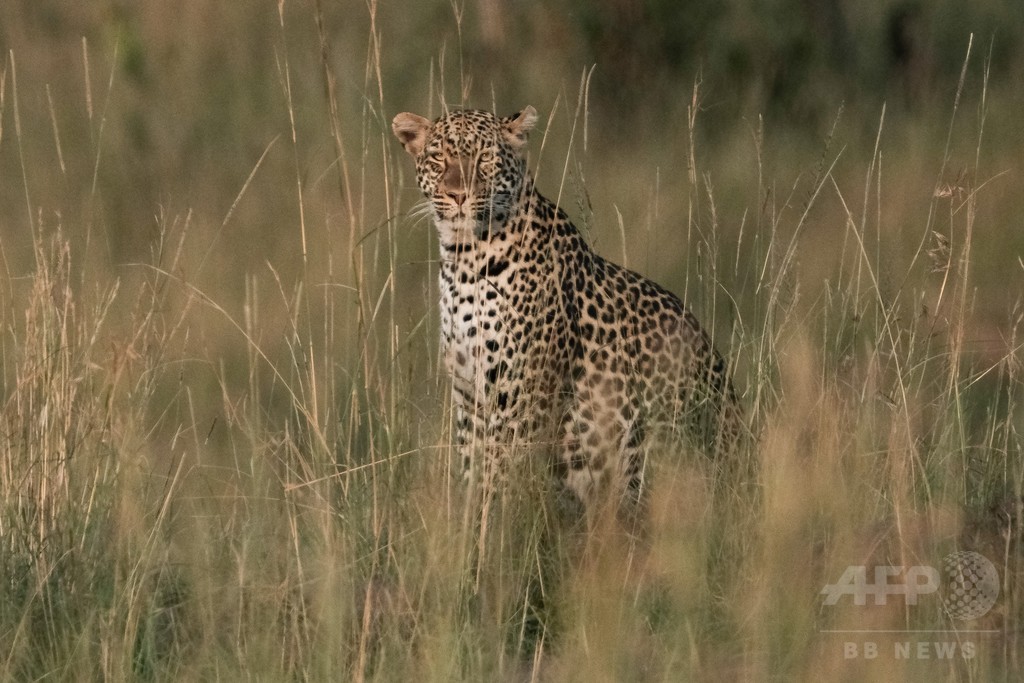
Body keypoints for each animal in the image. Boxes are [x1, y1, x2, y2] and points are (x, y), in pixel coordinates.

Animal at [393, 105, 745, 524]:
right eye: (438, 159)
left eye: (485, 160)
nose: (458, 195)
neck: (464, 261)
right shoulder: (469, 397)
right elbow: (472, 474)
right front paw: (467, 529)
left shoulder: (522, 395)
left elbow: (500, 477)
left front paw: (492, 531)